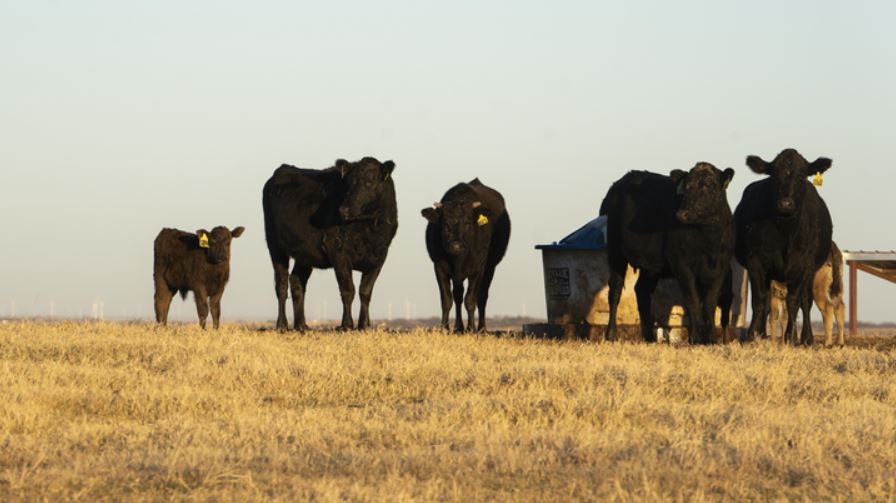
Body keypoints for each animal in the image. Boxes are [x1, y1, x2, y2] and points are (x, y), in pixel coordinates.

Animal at [260, 157, 398, 330]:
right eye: (349, 183)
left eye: (370, 182)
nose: (344, 209)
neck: (370, 230)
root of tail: (283, 169)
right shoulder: (338, 252)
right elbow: (348, 290)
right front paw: (346, 325)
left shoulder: (380, 256)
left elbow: (365, 292)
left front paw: (364, 325)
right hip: (275, 246)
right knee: (282, 284)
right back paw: (282, 325)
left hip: (304, 253)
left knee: (297, 282)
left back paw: (301, 325)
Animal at [422, 179, 512, 332]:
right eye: (445, 225)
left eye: (467, 224)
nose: (456, 246)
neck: (458, 260)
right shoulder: (439, 267)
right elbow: (447, 300)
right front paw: (445, 328)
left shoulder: (478, 268)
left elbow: (470, 299)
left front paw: (471, 328)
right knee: (458, 295)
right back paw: (458, 327)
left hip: (490, 267)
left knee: (482, 296)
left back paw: (481, 328)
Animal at [600, 163, 736, 344]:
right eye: (686, 186)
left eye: (708, 185)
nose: (682, 214)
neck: (709, 241)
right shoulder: (682, 265)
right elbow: (692, 300)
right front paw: (695, 338)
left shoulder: (721, 268)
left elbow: (709, 303)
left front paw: (711, 338)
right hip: (615, 252)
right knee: (615, 290)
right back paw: (611, 334)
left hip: (651, 266)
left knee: (642, 290)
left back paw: (649, 337)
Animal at [736, 148, 832, 344]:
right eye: (773, 175)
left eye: (801, 175)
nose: (785, 203)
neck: (785, 233)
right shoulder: (755, 262)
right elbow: (759, 300)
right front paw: (752, 335)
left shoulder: (803, 265)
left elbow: (794, 300)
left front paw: (789, 338)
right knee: (766, 302)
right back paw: (762, 334)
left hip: (811, 272)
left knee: (806, 300)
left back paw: (807, 338)